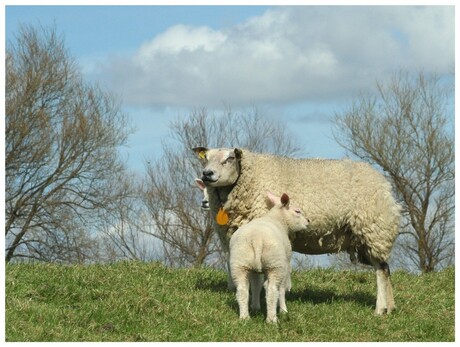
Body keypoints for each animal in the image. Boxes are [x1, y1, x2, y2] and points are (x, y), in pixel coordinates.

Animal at [230, 190, 310, 324]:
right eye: (297, 211)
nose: (308, 221)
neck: (278, 220)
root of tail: (256, 238)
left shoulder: (255, 270)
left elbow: (256, 285)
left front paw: (255, 307)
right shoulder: (285, 263)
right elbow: (282, 288)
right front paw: (283, 310)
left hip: (239, 263)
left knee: (242, 290)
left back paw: (245, 317)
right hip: (275, 264)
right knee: (272, 290)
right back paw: (272, 319)